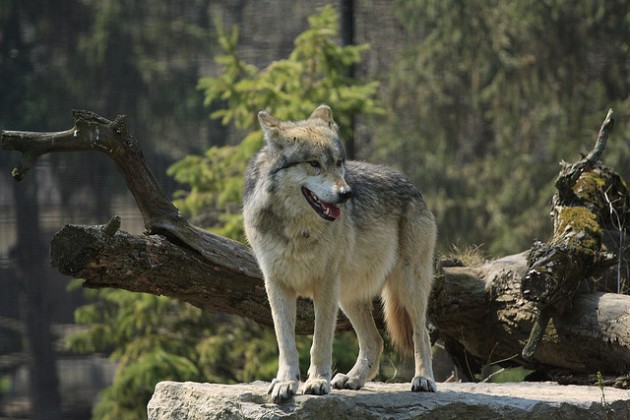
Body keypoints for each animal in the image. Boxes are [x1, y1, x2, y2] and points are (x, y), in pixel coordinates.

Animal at [244, 103, 436, 402]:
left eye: (338, 163)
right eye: (314, 164)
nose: (347, 194)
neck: (297, 232)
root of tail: (411, 183)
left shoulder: (324, 285)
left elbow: (319, 342)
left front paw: (316, 382)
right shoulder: (276, 285)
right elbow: (286, 343)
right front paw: (286, 383)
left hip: (407, 287)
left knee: (421, 334)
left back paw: (424, 379)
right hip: (348, 297)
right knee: (375, 341)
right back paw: (353, 379)